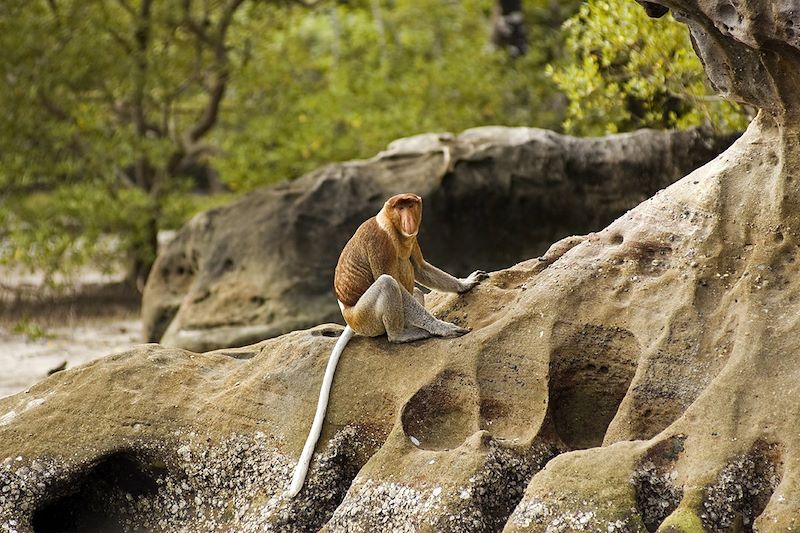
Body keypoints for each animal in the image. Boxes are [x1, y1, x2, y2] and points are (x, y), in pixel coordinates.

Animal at [288, 192, 488, 498]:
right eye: (399, 206)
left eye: (411, 205)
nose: (408, 220)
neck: (393, 229)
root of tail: (350, 319)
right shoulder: (379, 243)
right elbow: (394, 281)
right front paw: (442, 327)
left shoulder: (412, 240)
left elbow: (421, 268)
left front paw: (465, 283)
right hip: (367, 316)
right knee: (388, 284)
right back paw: (402, 335)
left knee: (414, 288)